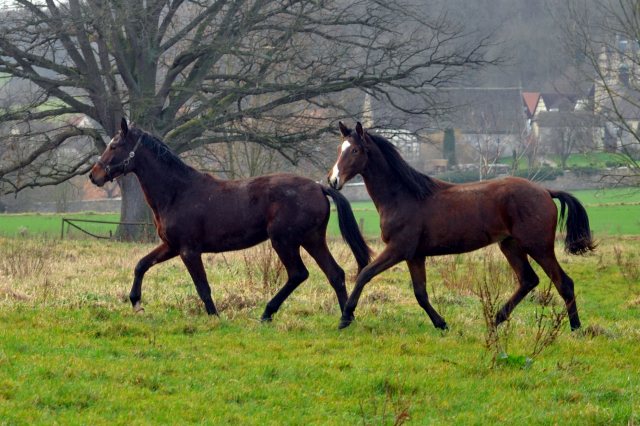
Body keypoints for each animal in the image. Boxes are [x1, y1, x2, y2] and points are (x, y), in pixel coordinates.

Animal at [89, 118, 370, 322]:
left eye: (114, 146)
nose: (94, 175)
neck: (177, 192)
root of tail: (319, 187)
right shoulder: (171, 246)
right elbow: (141, 264)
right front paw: (136, 303)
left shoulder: (189, 250)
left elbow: (203, 287)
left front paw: (214, 317)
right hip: (312, 239)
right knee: (335, 274)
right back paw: (346, 318)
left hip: (284, 241)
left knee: (298, 274)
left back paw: (267, 312)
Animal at [330, 121, 596, 332]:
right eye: (338, 149)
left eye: (354, 150)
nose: (333, 180)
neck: (403, 196)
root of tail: (545, 191)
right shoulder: (415, 255)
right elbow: (420, 293)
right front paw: (441, 323)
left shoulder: (398, 249)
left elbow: (364, 274)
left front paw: (346, 317)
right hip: (510, 245)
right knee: (528, 280)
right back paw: (496, 319)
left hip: (538, 246)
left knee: (564, 283)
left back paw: (576, 328)